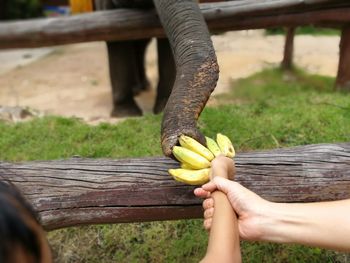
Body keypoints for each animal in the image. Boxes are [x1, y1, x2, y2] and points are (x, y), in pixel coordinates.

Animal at [95, 0, 219, 157]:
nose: (184, 135)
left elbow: (164, 42)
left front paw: (160, 108)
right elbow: (114, 37)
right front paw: (126, 114)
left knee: (141, 42)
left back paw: (142, 86)